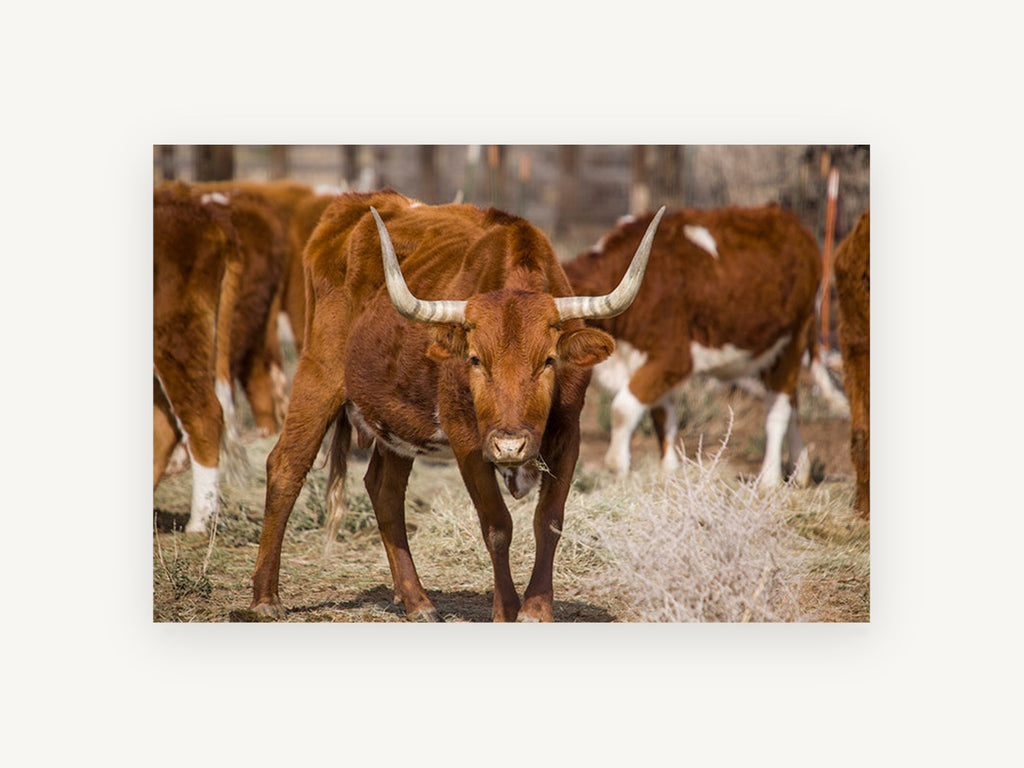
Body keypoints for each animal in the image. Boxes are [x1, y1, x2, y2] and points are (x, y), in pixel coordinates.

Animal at [248, 190, 665, 621]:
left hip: (397, 420)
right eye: (476, 359)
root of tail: (352, 204)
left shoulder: (569, 435)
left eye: (549, 360)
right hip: (318, 372)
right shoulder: (467, 440)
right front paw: (506, 610)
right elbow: (497, 525)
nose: (510, 446)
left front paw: (536, 609)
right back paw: (265, 597)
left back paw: (416, 600)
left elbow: (549, 520)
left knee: (384, 490)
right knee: (286, 466)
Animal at [563, 203, 822, 489]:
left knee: (778, 409)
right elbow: (664, 417)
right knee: (792, 402)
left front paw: (619, 469)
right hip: (771, 350)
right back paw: (800, 471)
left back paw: (769, 479)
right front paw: (670, 472)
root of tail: (789, 219)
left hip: (795, 338)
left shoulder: (673, 358)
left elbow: (623, 408)